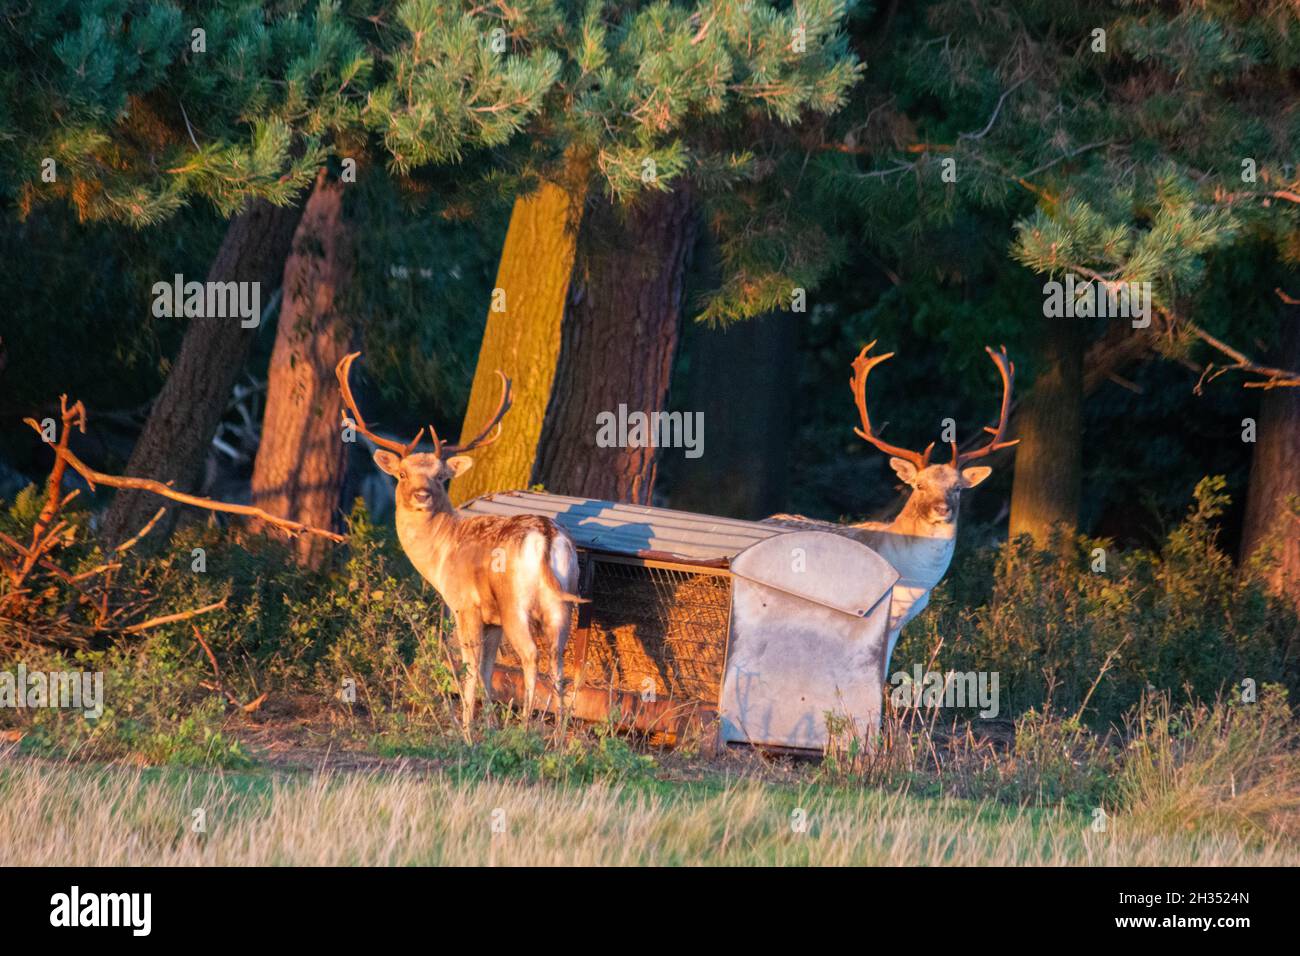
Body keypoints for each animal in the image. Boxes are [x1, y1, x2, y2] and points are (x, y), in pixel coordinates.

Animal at [335, 356, 585, 728]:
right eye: (403, 474)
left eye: (441, 477)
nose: (422, 495)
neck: (440, 554)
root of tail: (547, 535)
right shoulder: (492, 620)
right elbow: (487, 669)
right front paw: (489, 723)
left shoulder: (465, 604)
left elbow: (470, 667)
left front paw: (467, 727)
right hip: (562, 602)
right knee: (558, 661)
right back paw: (556, 734)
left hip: (516, 603)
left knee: (531, 655)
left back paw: (525, 727)